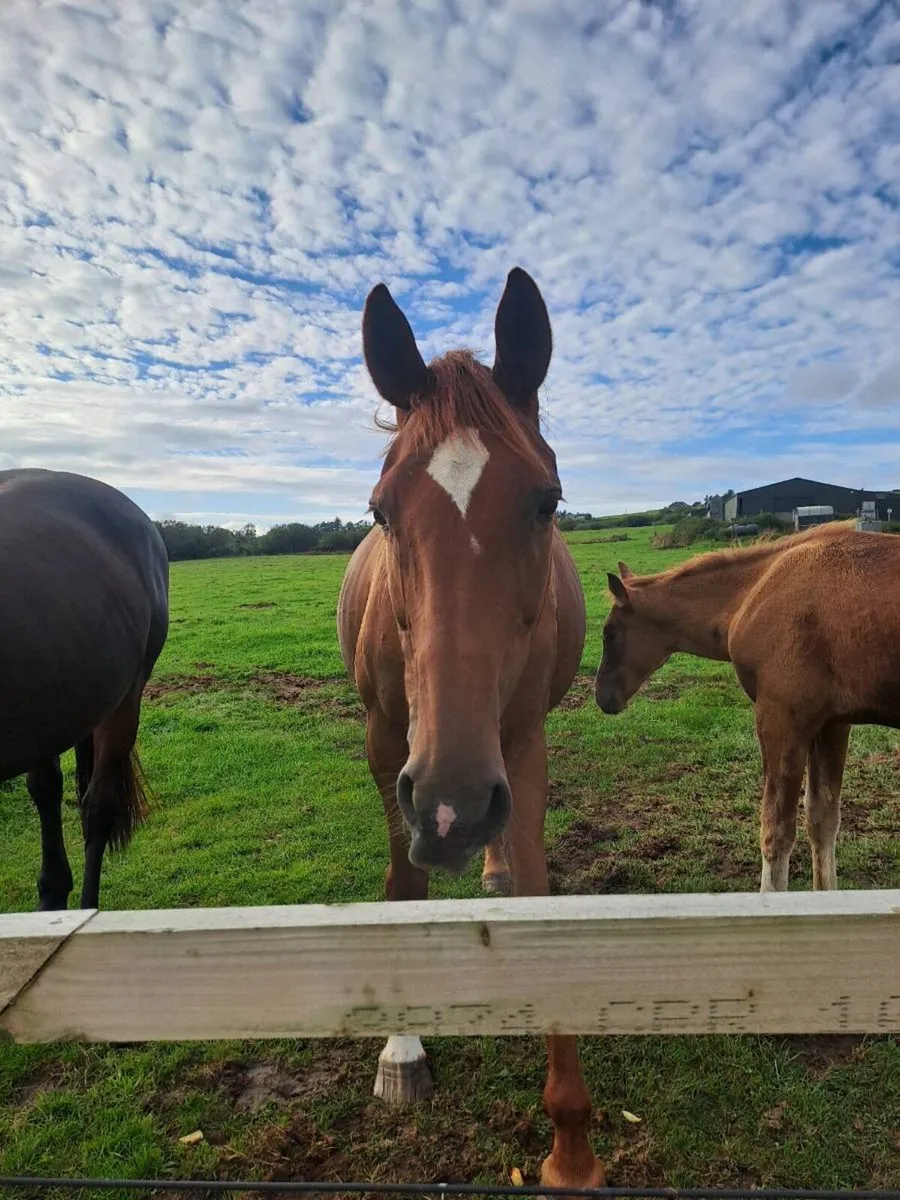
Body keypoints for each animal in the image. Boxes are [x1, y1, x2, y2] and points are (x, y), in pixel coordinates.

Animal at [337, 269, 605, 1191]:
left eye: (547, 502)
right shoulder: (389, 752)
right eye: (381, 512)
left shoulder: (519, 749)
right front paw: (403, 1049)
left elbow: (539, 898)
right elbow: (400, 884)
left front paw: (571, 1147)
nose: (452, 805)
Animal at [594, 521, 900, 893]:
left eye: (609, 633)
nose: (602, 696)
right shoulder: (832, 723)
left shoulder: (781, 719)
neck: (755, 591)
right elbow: (822, 820)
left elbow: (776, 832)